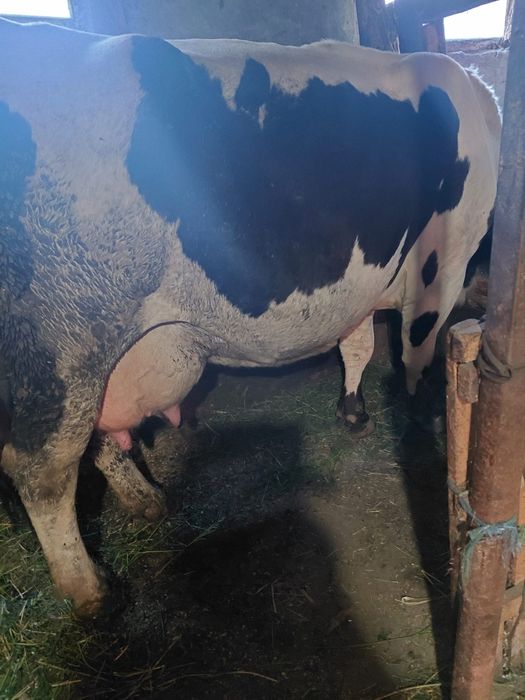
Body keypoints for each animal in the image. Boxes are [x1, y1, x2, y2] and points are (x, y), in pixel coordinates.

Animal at [0, 18, 500, 616]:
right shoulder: (440, 265)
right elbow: (417, 350)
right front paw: (423, 420)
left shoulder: (358, 286)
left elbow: (356, 345)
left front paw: (353, 410)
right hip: (65, 348)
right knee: (44, 472)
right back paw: (91, 589)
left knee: (96, 441)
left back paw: (147, 499)